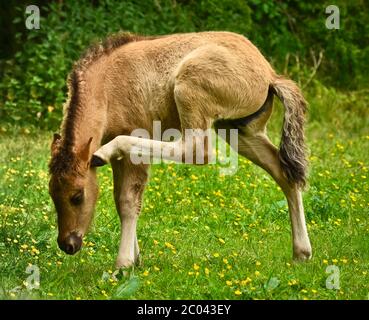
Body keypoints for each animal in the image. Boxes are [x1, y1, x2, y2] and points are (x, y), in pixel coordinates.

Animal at [47, 32, 310, 268]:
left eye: (77, 196)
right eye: (52, 194)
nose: (67, 244)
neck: (107, 87)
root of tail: (270, 74)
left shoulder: (135, 144)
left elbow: (128, 201)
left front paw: (123, 265)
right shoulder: (120, 160)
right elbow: (121, 200)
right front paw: (136, 259)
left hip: (190, 90)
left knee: (197, 150)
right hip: (238, 130)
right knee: (283, 172)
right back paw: (302, 253)